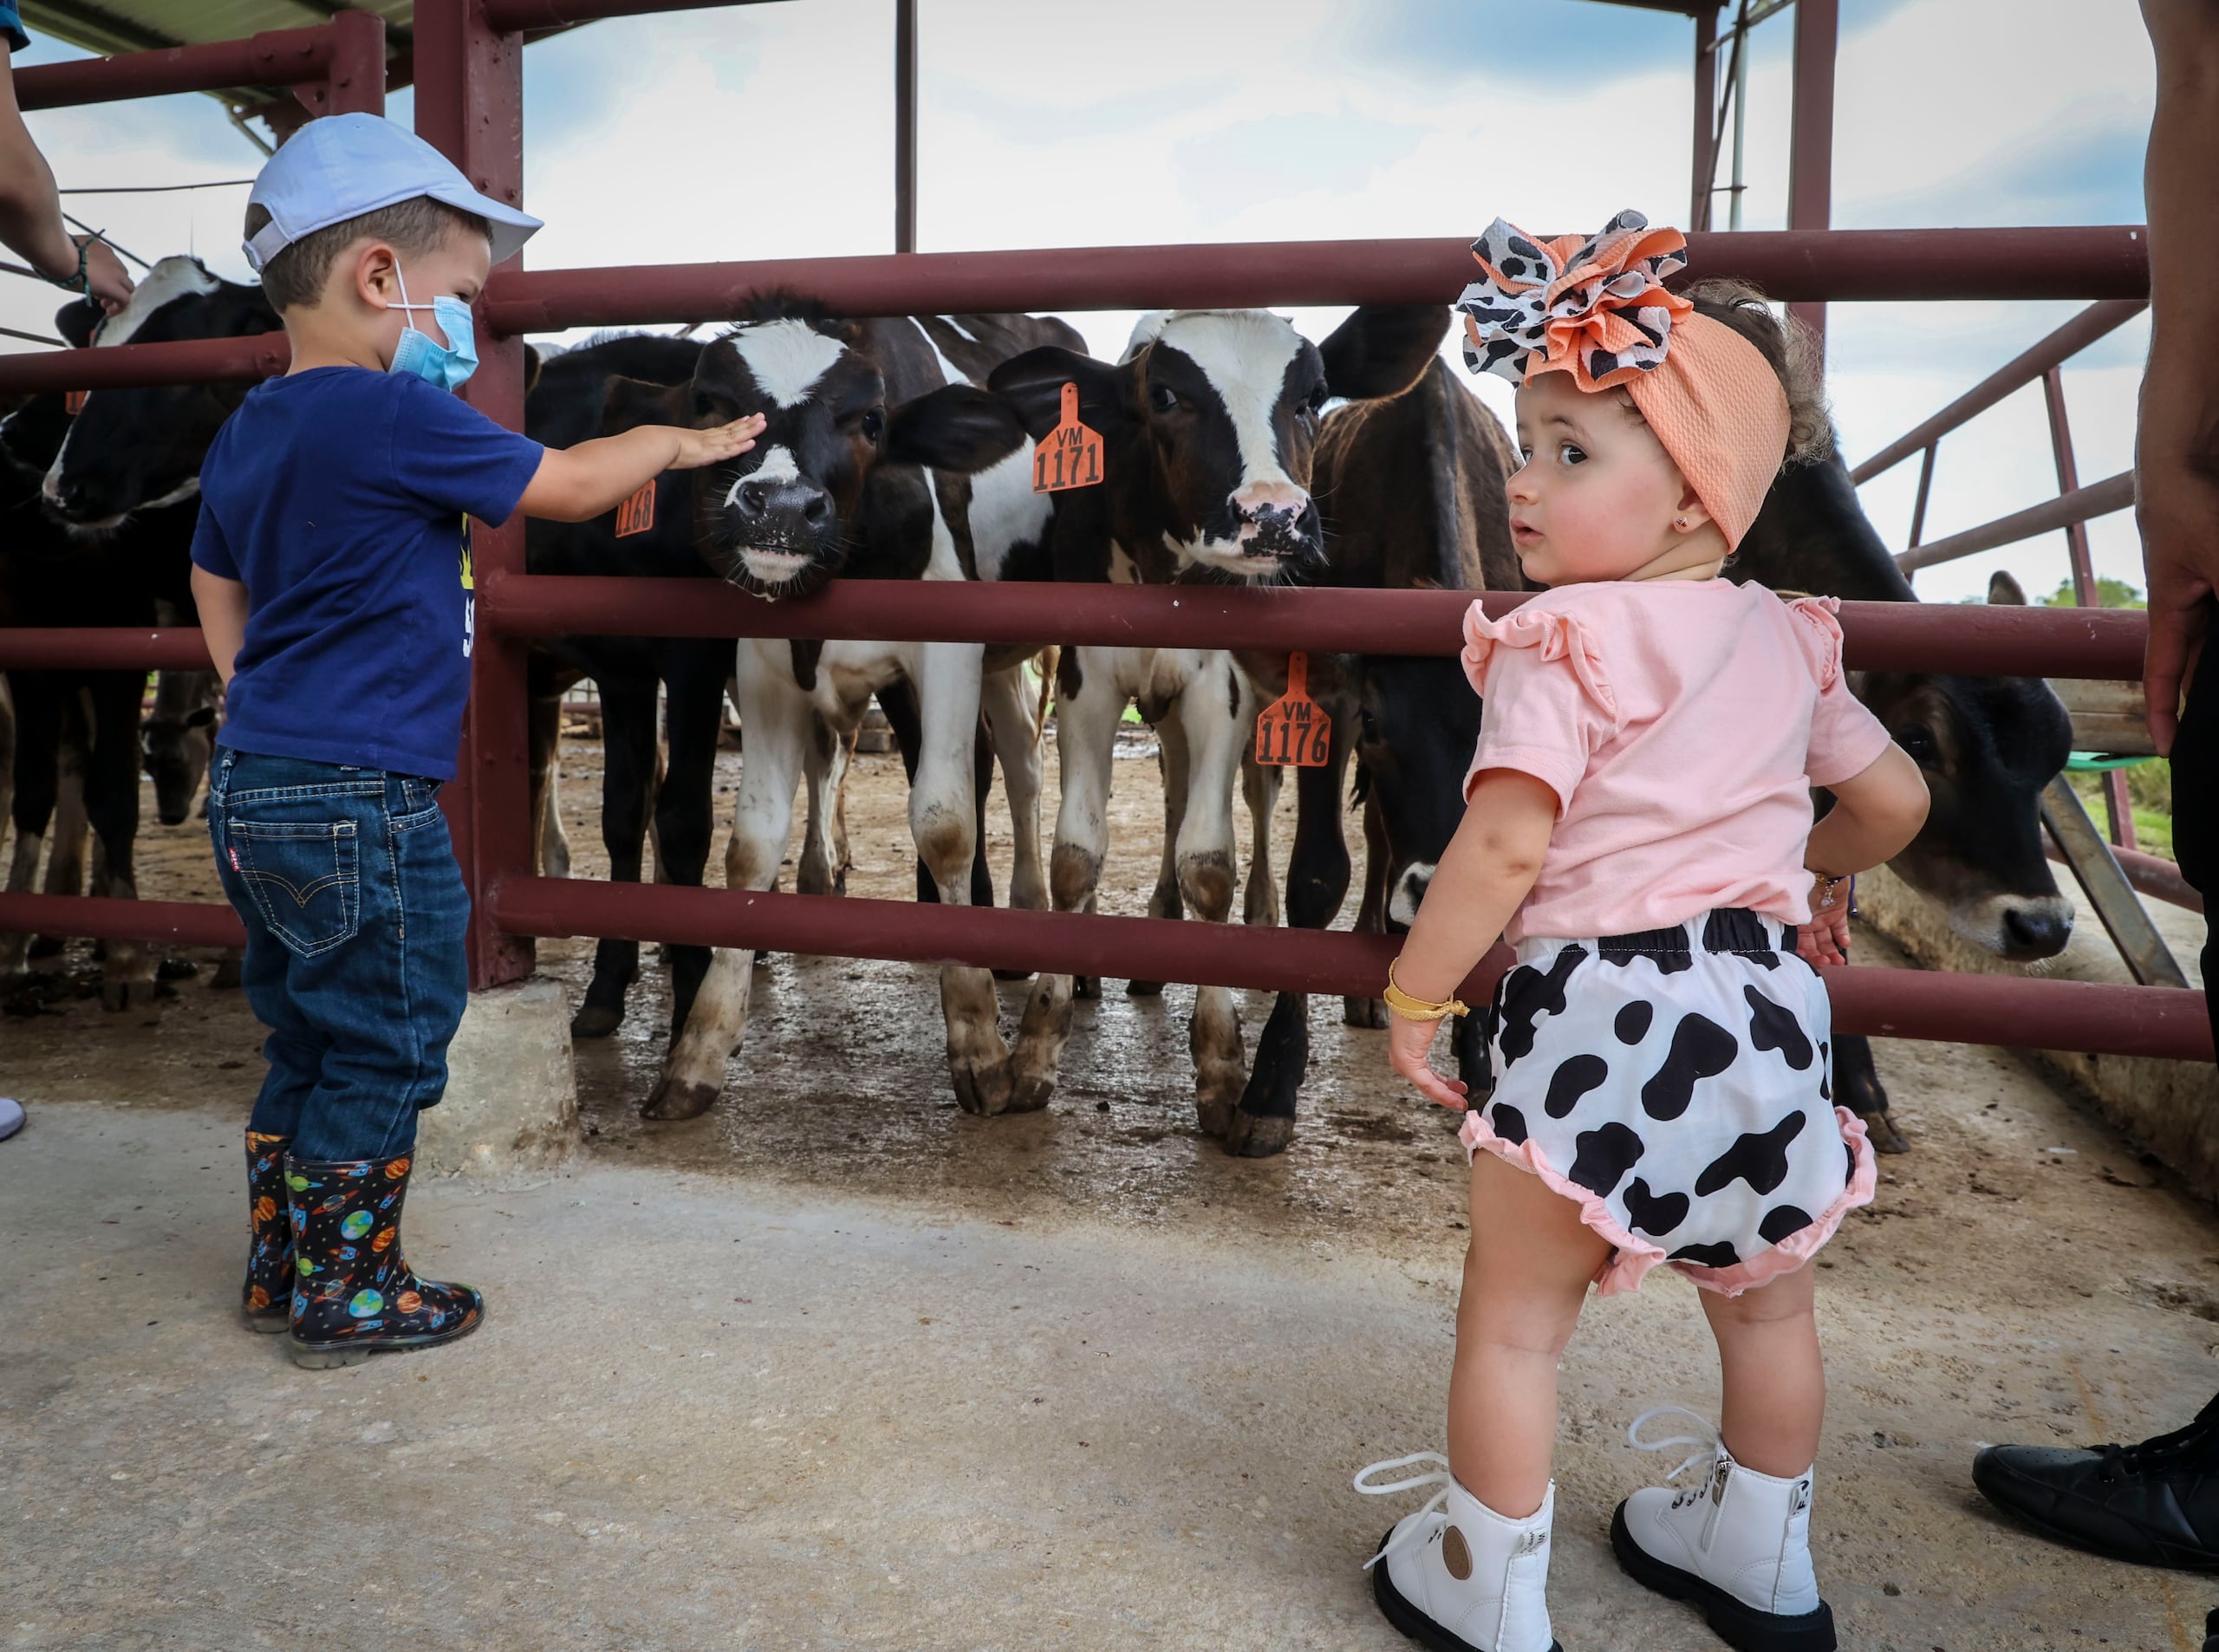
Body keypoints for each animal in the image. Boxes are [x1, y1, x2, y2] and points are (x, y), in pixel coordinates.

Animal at [993, 303, 1455, 1144]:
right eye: (1165, 396)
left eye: (1313, 396)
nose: (1273, 516)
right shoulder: (1086, 677)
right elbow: (1076, 855)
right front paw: (1037, 1043)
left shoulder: (1225, 689)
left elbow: (1209, 863)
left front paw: (1221, 1064)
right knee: (1175, 790)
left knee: (1257, 803)